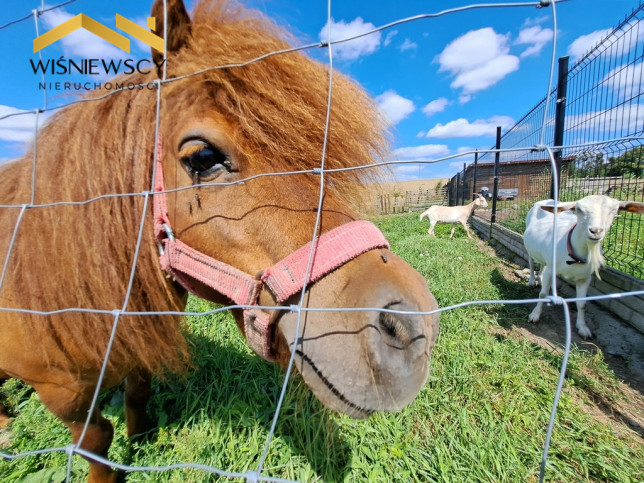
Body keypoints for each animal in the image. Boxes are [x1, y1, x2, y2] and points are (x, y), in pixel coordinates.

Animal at [0, 1, 438, 482]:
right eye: (203, 157)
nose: (412, 329)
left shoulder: (140, 349)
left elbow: (137, 393)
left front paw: (141, 441)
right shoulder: (65, 396)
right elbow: (96, 444)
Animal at [524, 195, 640, 338]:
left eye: (614, 210)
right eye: (578, 209)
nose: (595, 231)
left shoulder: (585, 278)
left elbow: (582, 303)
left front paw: (583, 328)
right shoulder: (552, 268)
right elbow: (543, 294)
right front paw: (534, 315)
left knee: (542, 264)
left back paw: (540, 278)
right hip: (530, 247)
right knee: (531, 260)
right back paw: (532, 281)